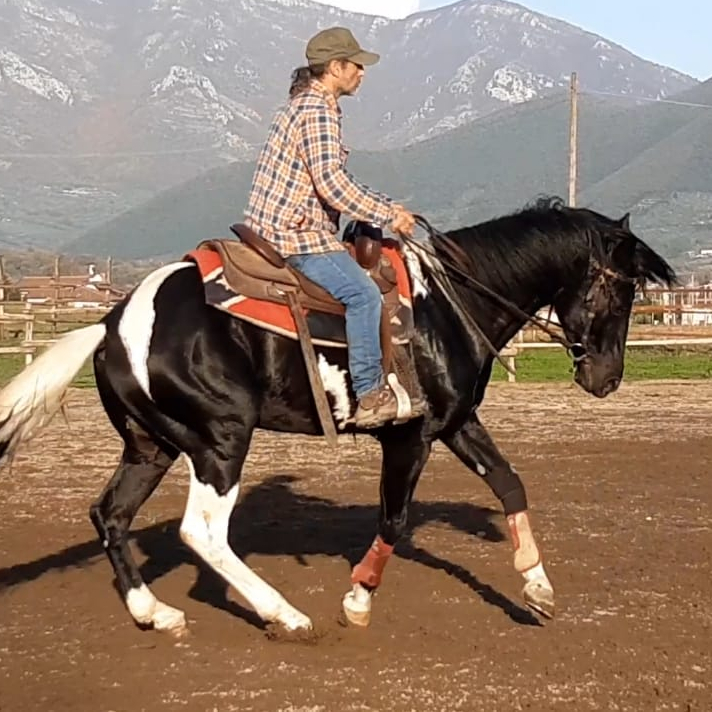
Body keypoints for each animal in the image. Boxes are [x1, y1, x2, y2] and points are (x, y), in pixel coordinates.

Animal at [0, 196, 675, 637]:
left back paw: (155, 613)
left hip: (152, 445)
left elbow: (510, 483)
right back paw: (285, 615)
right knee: (202, 533)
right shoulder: (410, 436)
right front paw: (357, 599)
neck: (450, 302)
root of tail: (113, 322)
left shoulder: (456, 423)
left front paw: (537, 588)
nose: (607, 378)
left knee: (110, 515)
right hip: (221, 441)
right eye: (620, 290)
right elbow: (393, 517)